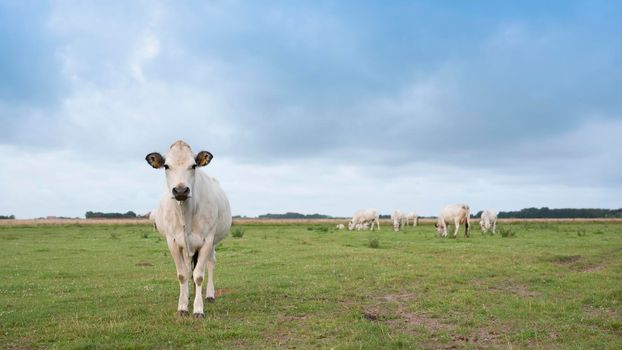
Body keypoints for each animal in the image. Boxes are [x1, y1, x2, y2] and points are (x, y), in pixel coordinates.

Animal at [147, 139, 234, 318]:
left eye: (193, 165)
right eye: (166, 166)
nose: (180, 190)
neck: (186, 215)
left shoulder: (207, 240)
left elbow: (199, 275)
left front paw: (198, 309)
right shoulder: (173, 242)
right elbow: (182, 274)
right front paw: (182, 307)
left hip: (212, 243)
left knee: (210, 263)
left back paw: (209, 294)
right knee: (187, 269)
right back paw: (186, 295)